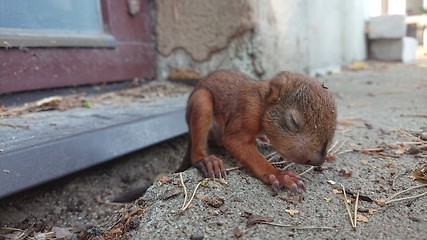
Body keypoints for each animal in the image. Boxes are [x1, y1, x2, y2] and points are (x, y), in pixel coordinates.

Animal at [177, 70, 338, 195]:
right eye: (293, 121)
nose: (318, 161)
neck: (262, 102)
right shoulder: (249, 110)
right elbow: (235, 141)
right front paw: (278, 175)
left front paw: (329, 155)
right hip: (201, 102)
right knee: (198, 151)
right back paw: (207, 161)